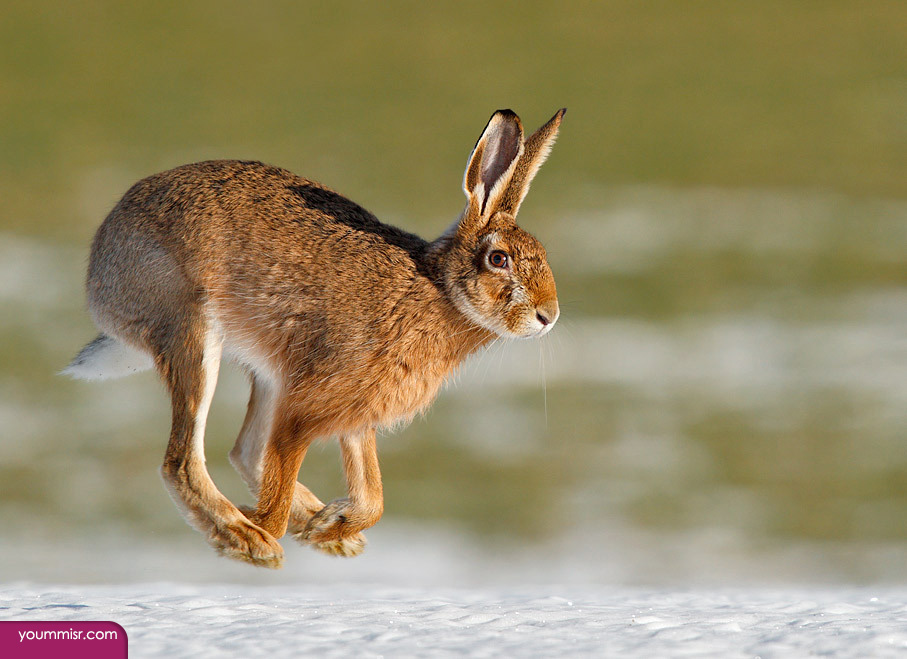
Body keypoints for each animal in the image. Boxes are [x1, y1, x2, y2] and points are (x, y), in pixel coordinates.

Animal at [64, 108, 564, 568]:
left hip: (267, 369)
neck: (436, 287)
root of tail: (100, 272)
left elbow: (373, 498)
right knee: (184, 462)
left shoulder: (355, 417)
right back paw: (248, 539)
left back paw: (323, 532)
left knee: (244, 451)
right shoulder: (306, 406)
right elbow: (284, 484)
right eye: (498, 259)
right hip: (192, 333)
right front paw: (272, 533)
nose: (548, 316)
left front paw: (330, 527)